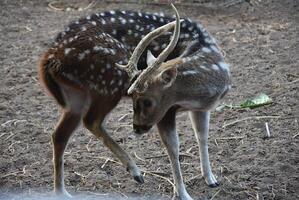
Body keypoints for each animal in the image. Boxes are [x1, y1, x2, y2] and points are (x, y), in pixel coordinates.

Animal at [38, 3, 232, 200]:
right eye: (132, 97)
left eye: (148, 102)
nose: (137, 127)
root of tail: (51, 57)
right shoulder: (166, 113)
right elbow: (173, 147)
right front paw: (183, 193)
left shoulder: (201, 108)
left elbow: (202, 136)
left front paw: (211, 179)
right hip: (108, 82)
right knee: (91, 120)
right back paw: (136, 172)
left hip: (76, 96)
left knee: (60, 134)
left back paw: (61, 192)